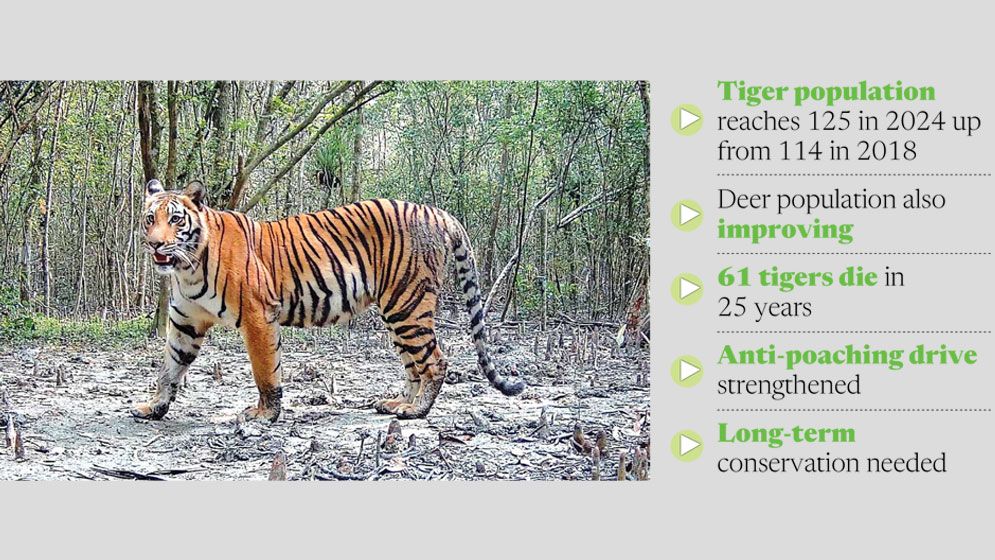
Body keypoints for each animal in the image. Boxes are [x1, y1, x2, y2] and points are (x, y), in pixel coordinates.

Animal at [133, 179, 524, 423]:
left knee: (436, 360)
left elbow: (265, 372)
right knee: (414, 365)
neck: (187, 267)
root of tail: (438, 212)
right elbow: (169, 369)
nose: (154, 243)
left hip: (408, 304)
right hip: (396, 312)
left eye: (176, 219)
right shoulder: (185, 322)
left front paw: (264, 415)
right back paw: (398, 403)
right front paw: (154, 407)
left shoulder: (259, 316)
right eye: (150, 218)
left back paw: (417, 412)